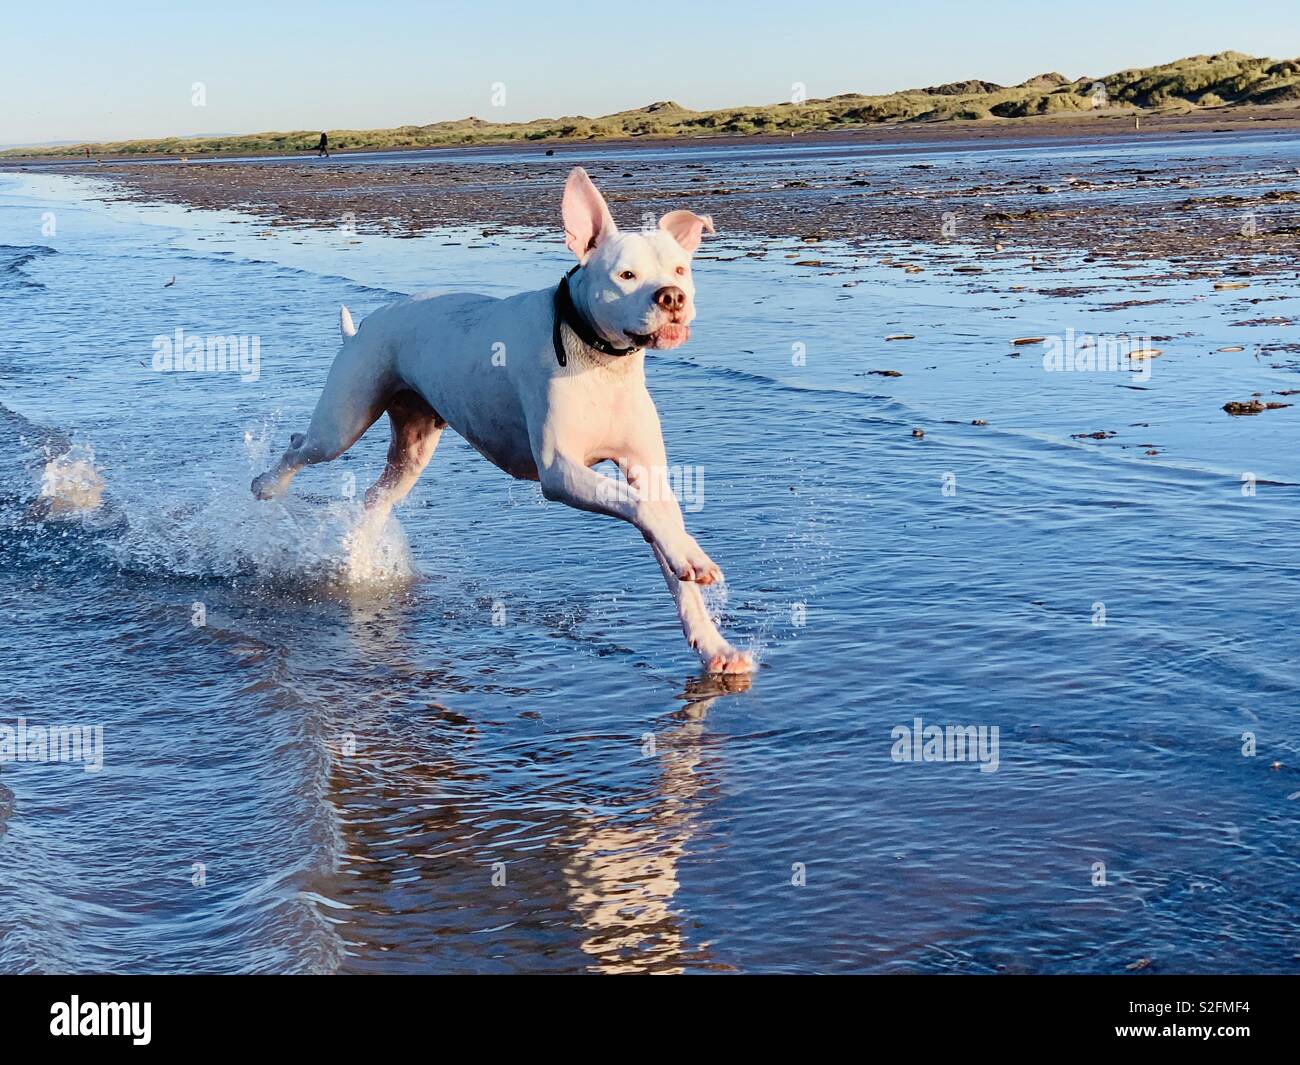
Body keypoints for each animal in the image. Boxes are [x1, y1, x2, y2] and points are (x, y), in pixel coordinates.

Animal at [252, 169, 754, 676]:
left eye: (680, 270)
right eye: (625, 275)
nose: (672, 297)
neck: (597, 357)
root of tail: (366, 326)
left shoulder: (644, 471)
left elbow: (665, 540)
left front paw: (713, 641)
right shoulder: (560, 473)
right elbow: (640, 507)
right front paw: (693, 556)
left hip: (412, 450)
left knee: (375, 499)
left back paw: (356, 559)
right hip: (342, 423)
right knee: (301, 445)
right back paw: (266, 486)